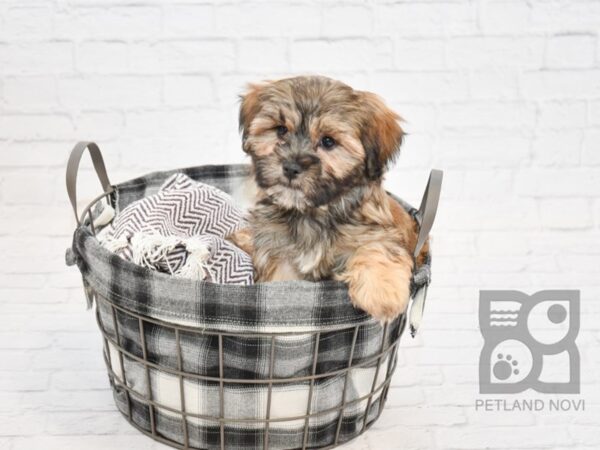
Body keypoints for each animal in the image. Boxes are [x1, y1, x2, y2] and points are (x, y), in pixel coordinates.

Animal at [229, 76, 426, 324]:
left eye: (328, 142)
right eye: (281, 130)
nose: (291, 167)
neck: (313, 213)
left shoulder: (377, 230)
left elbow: (379, 248)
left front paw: (381, 293)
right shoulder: (279, 254)